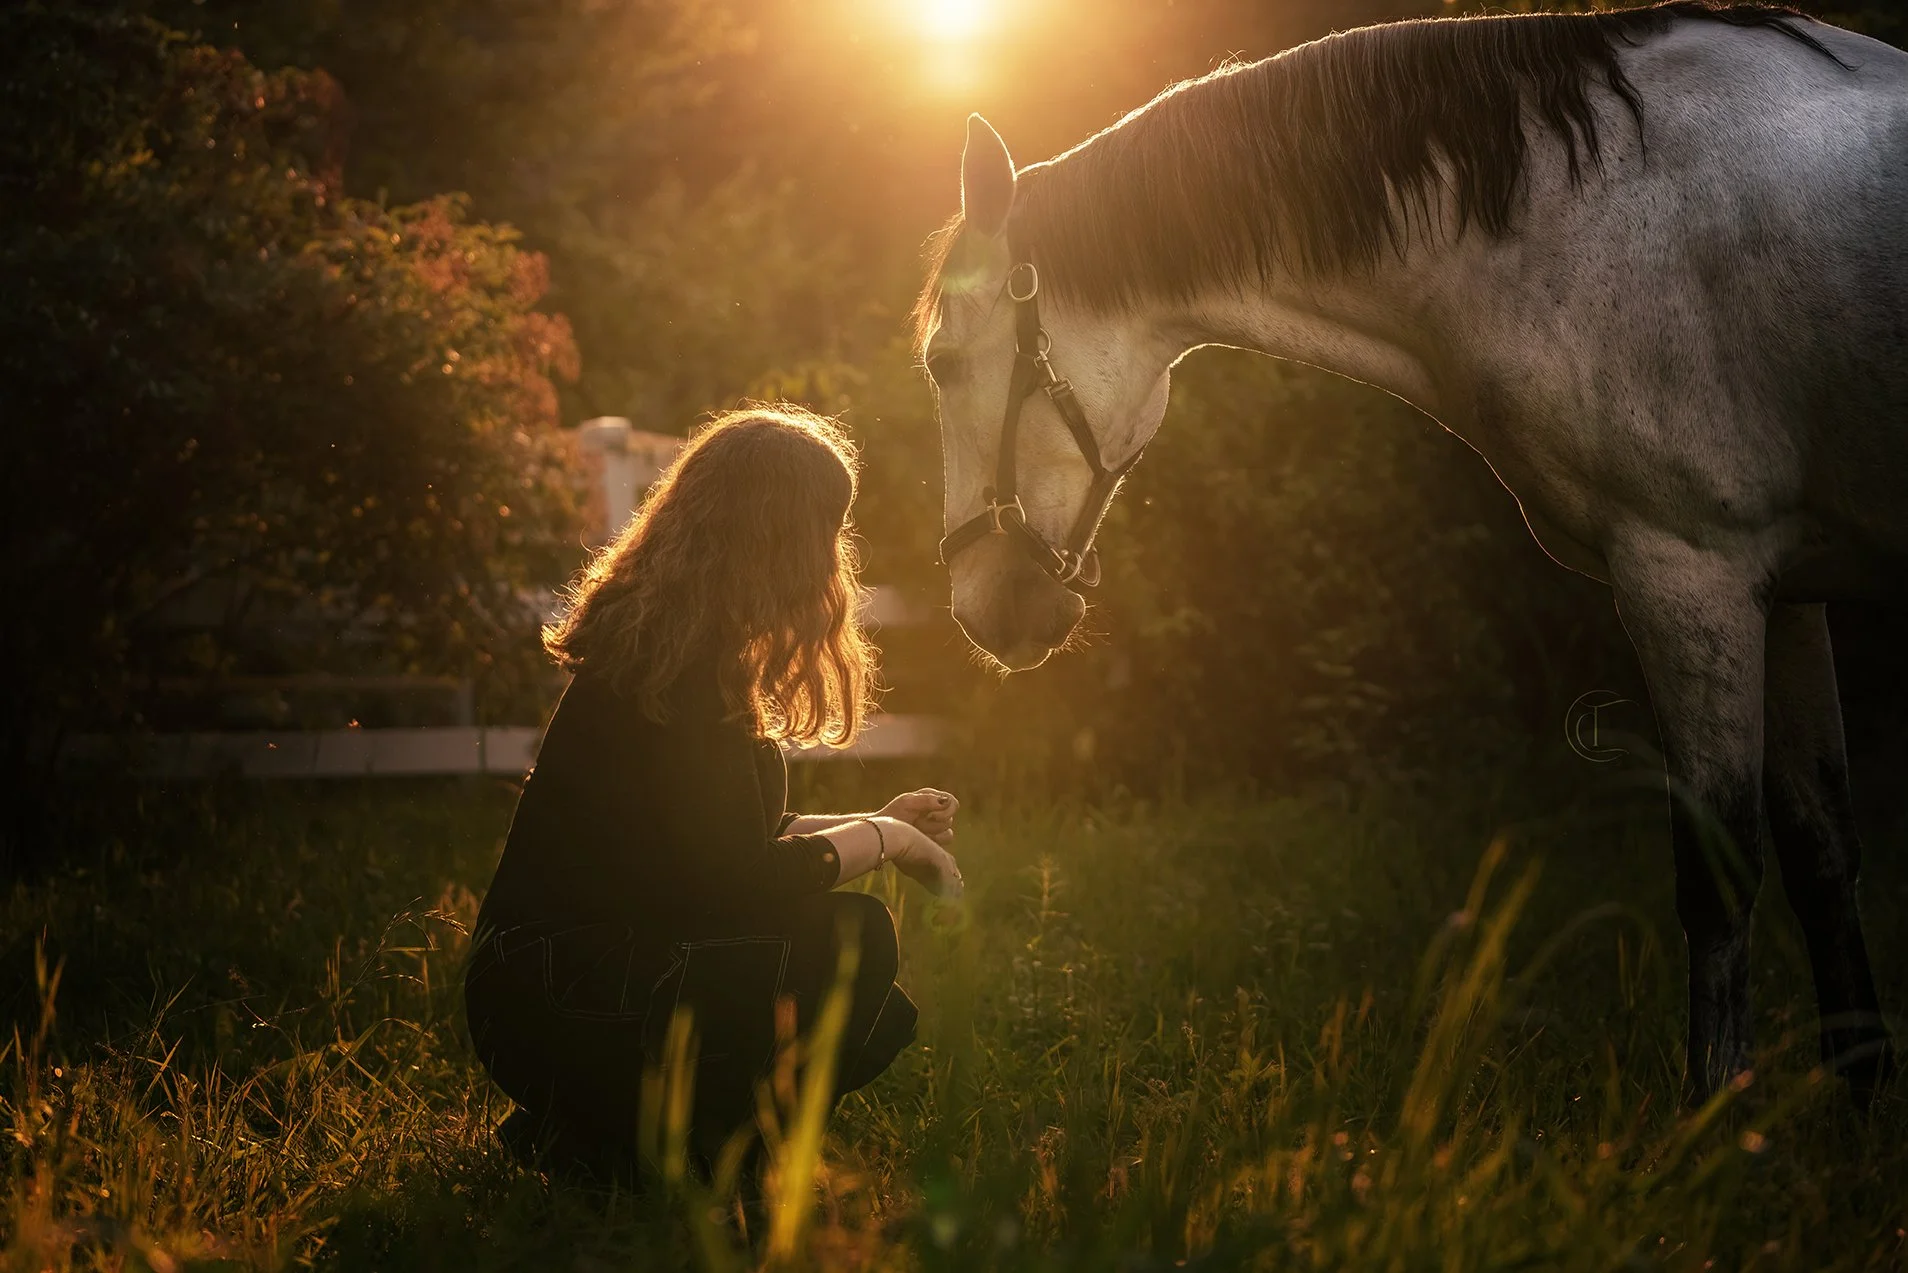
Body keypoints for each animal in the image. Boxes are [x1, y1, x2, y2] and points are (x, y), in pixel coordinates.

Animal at [914, 3, 1908, 1107]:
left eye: (943, 363)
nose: (979, 605)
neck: (1583, 212)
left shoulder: (1689, 570)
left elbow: (1719, 868)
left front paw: (1712, 1125)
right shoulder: (1787, 586)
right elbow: (1821, 847)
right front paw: (1856, 1106)